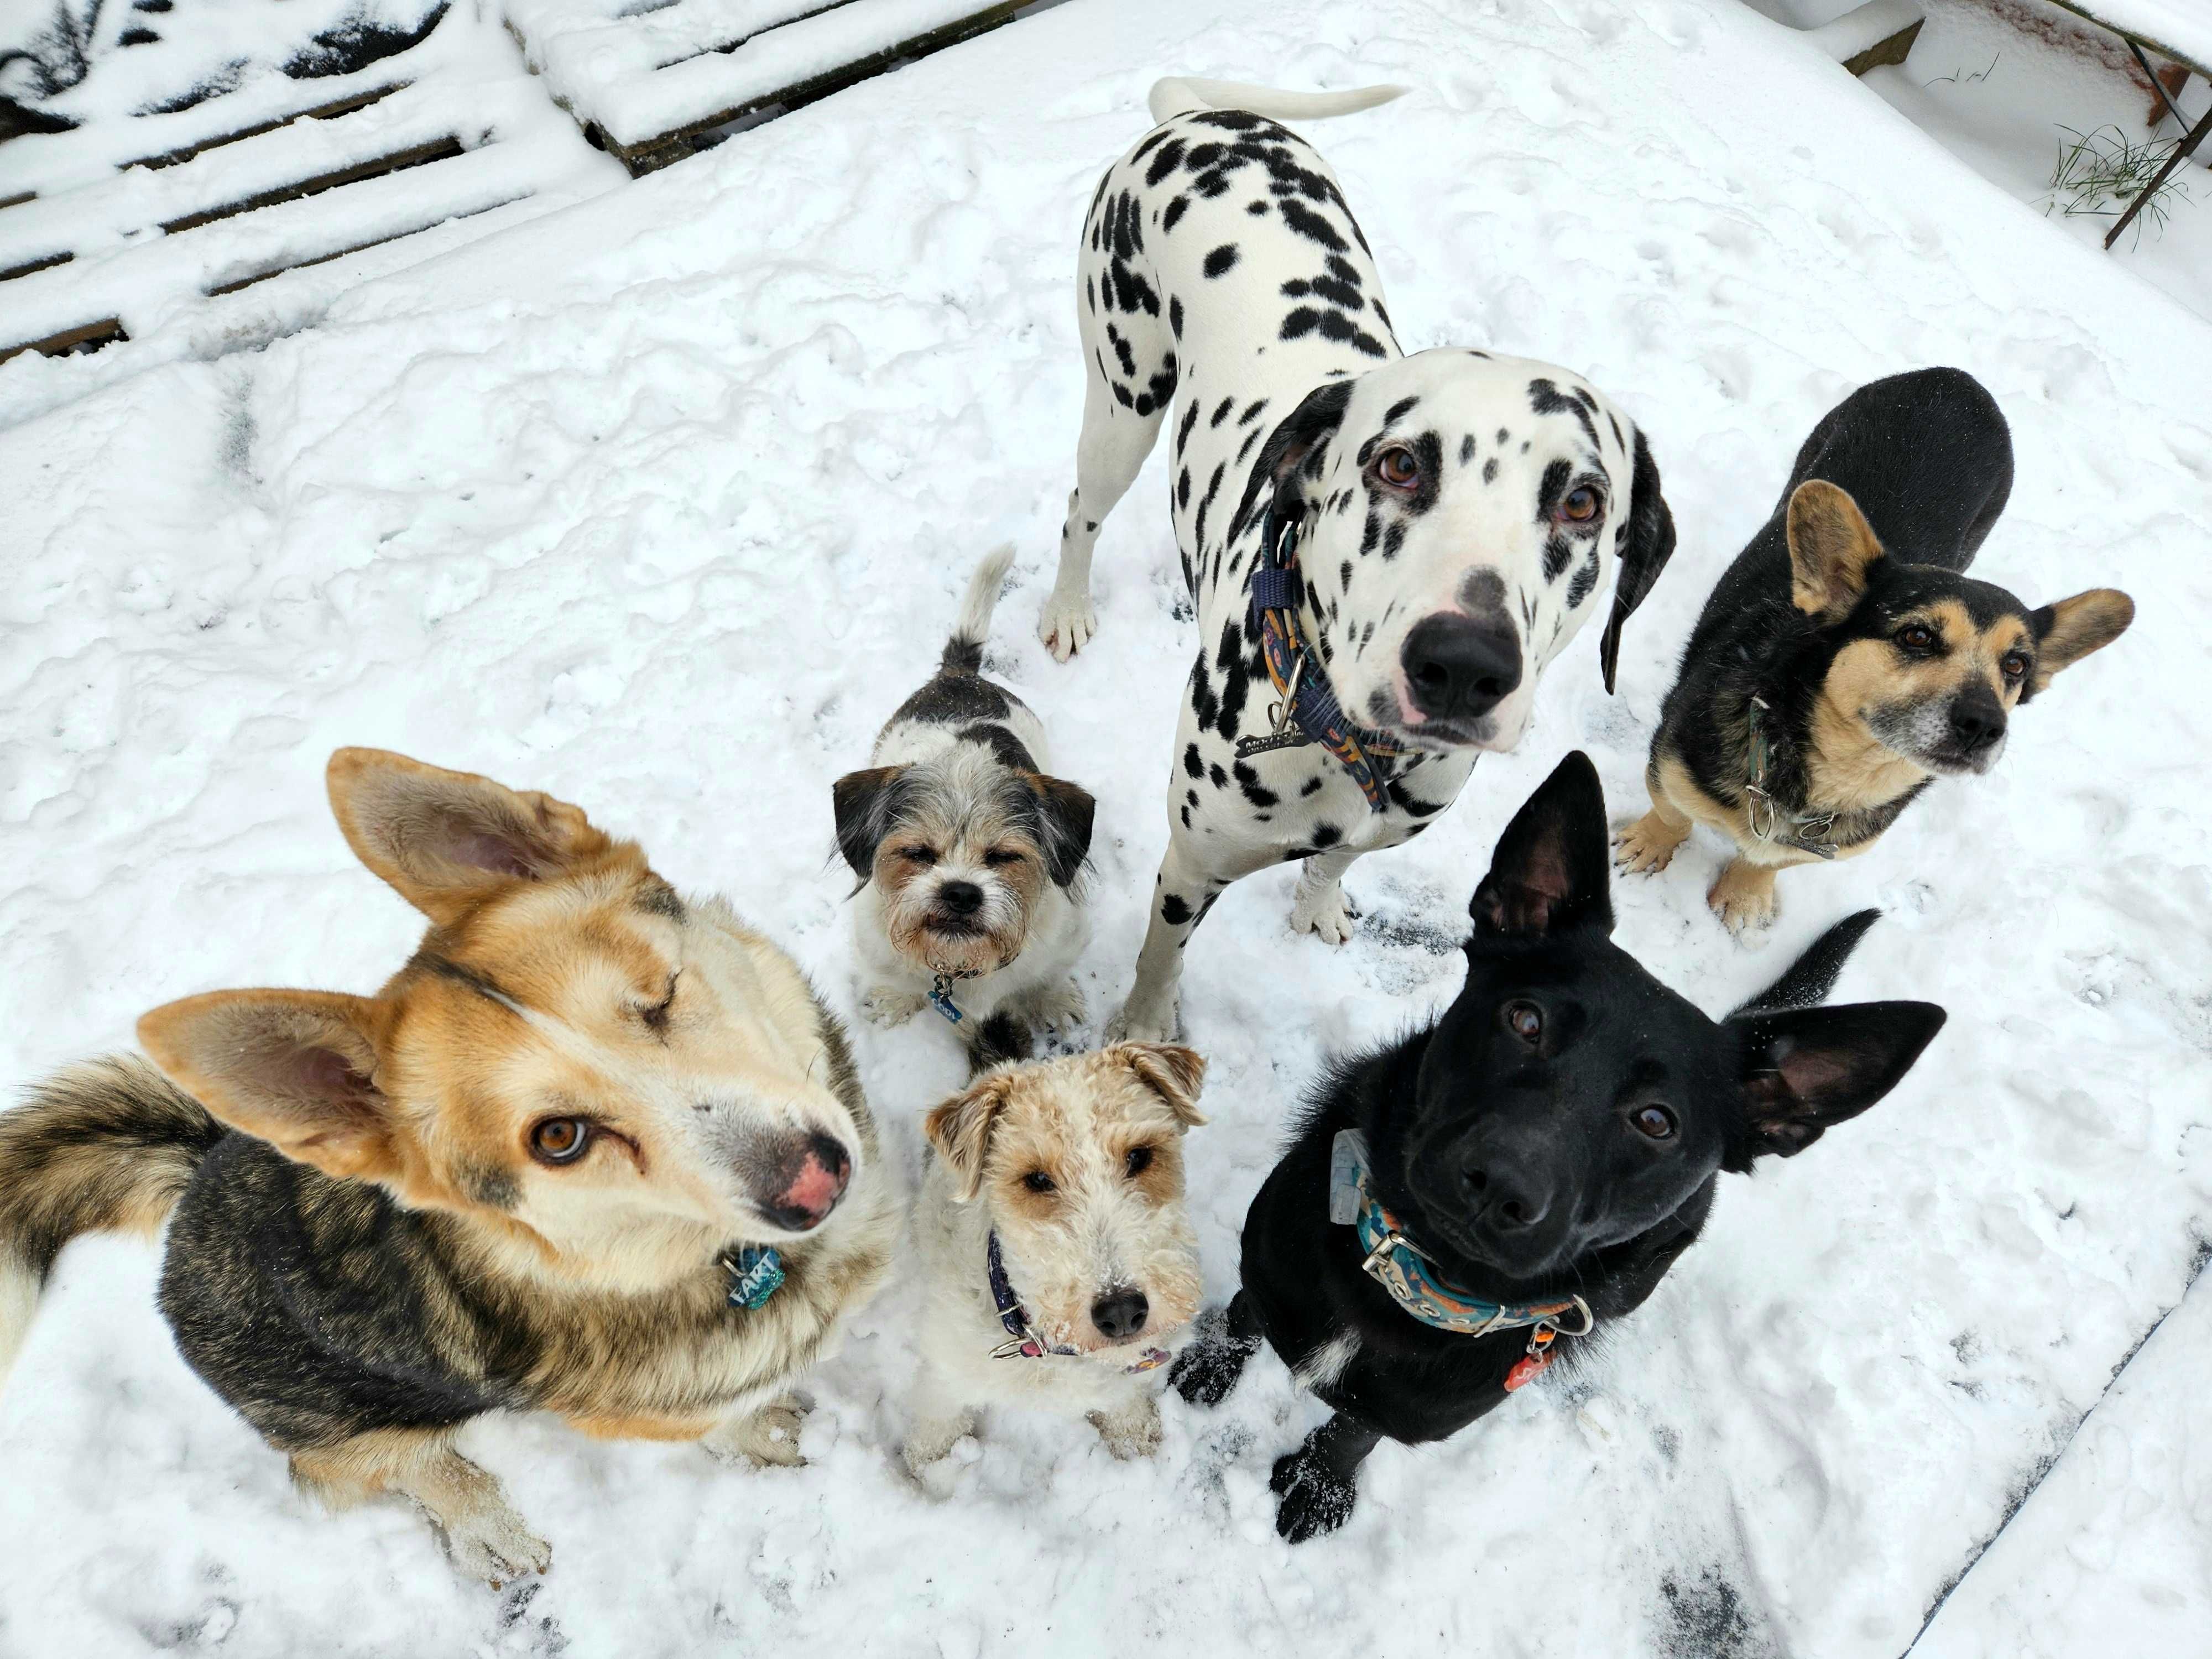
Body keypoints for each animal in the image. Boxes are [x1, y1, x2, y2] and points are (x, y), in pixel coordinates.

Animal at [2, 752, 898, 1584]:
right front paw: (770, 1435)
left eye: (661, 994)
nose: (815, 1181)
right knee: (383, 1468)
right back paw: (484, 1525)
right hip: (348, 1423)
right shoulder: (658, 1413)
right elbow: (730, 1421)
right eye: (559, 1138)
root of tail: (193, 1183)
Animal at [1035, 81, 1672, 1040]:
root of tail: (1194, 116)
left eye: (1583, 502)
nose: (1463, 665)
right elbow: (1159, 962)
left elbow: (1334, 864)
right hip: (1124, 400)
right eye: (1398, 464)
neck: (1352, 749)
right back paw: (1068, 608)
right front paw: (1142, 1033)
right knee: (1083, 510)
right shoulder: (1190, 862)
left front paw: (1318, 904)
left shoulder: (1380, 829)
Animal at [1168, 752, 1947, 1548]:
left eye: (1657, 1122)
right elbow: (1243, 1314)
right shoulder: (1268, 1272)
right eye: (1525, 1019)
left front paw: (1318, 1483)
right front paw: (1208, 1362)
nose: (1499, 1185)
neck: (1413, 1284)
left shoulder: (1413, 1407)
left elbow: (1358, 1430)